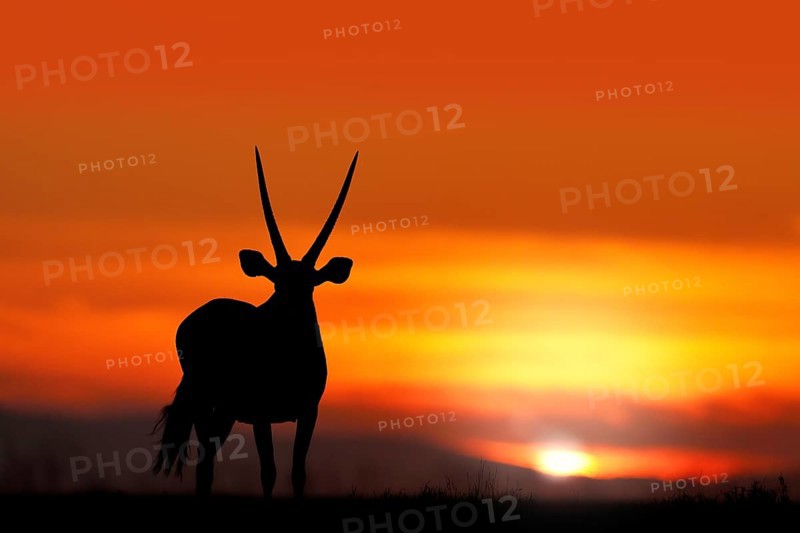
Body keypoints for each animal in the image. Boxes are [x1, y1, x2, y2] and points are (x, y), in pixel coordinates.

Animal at [153, 147, 359, 498]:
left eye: (310, 286)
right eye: (277, 283)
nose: (289, 315)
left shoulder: (309, 413)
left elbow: (298, 472)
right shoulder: (262, 415)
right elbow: (269, 471)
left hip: (226, 412)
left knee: (208, 459)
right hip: (205, 402)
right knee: (204, 464)